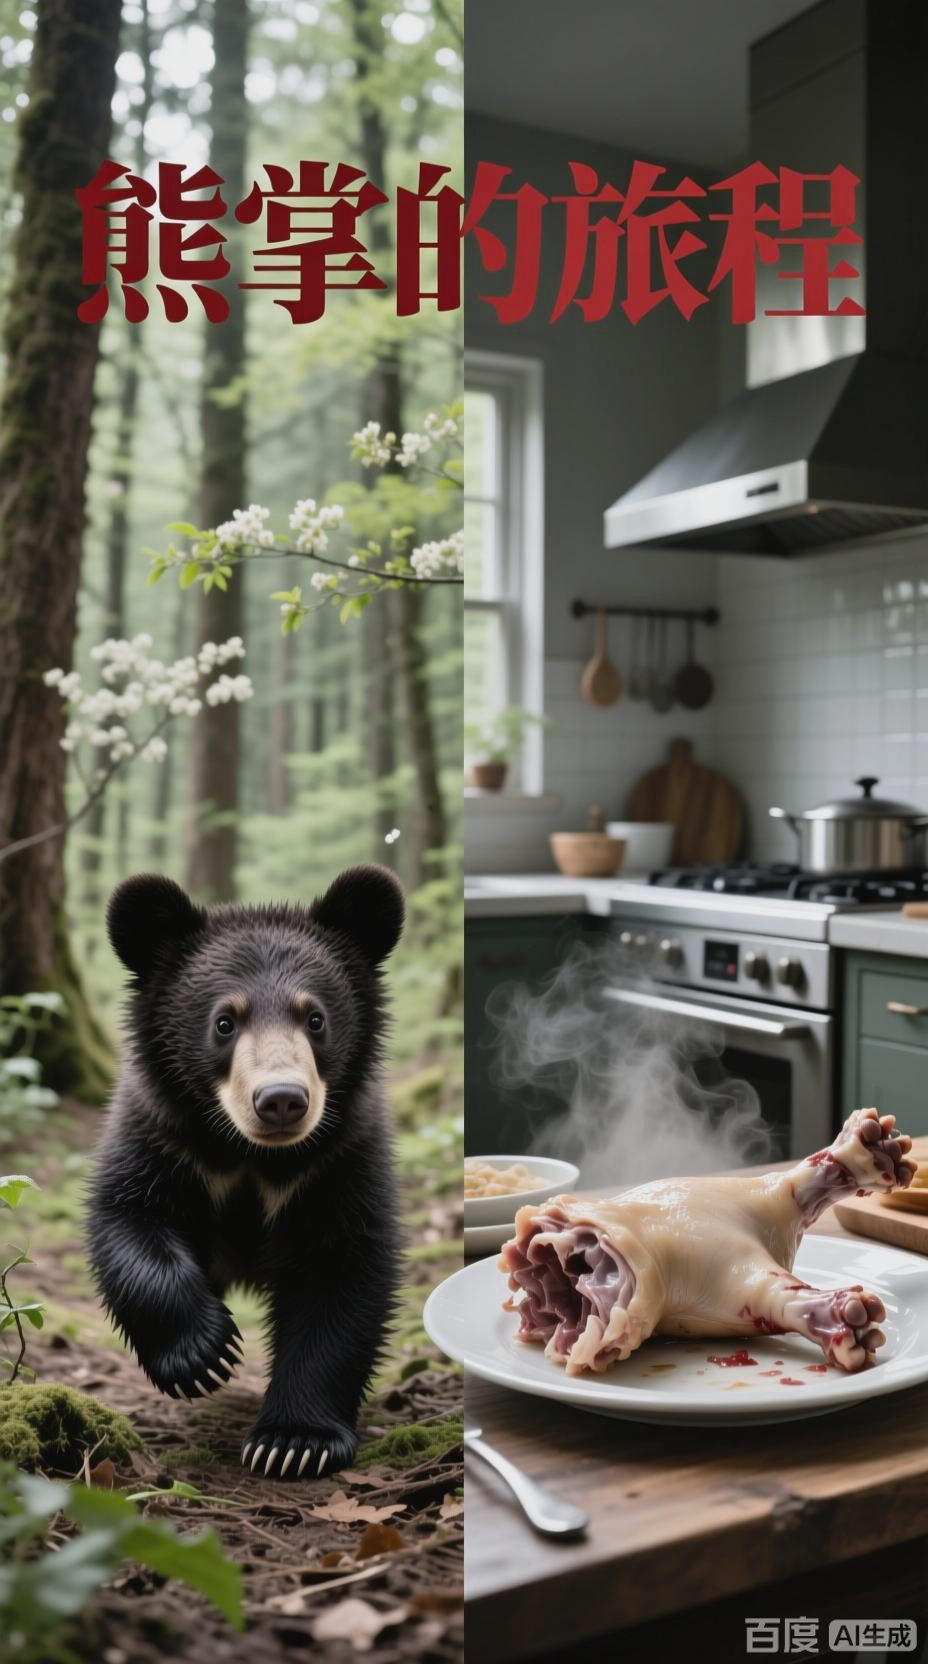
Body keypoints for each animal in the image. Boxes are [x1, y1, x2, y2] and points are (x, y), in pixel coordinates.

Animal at [87, 863, 404, 1480]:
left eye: (315, 1018)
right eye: (224, 1022)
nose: (281, 1100)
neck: (252, 1156)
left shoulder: (339, 1158)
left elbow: (339, 1273)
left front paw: (293, 1443)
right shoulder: (160, 1134)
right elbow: (129, 1217)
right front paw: (204, 1355)